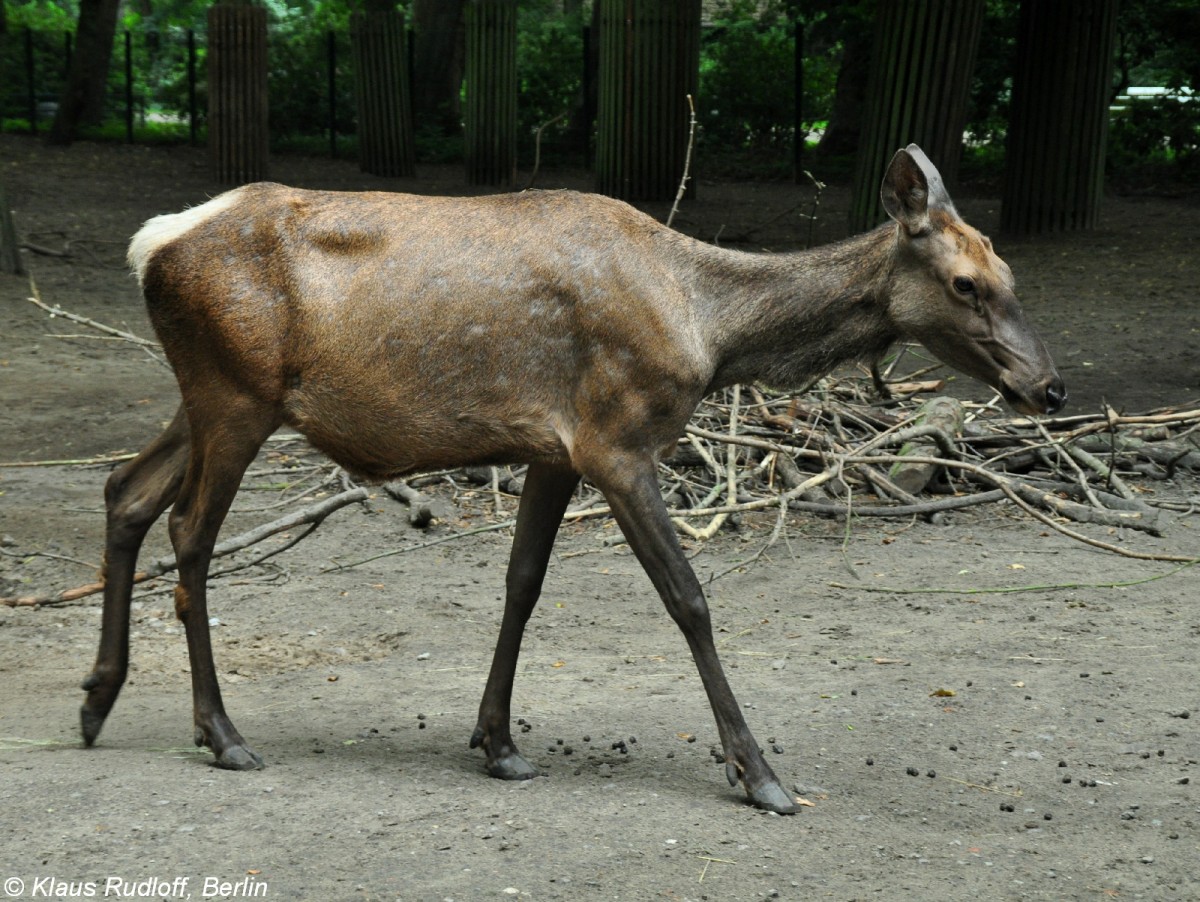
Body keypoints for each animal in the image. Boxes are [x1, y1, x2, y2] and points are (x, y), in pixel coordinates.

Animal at [79, 144, 1065, 815]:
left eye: (1011, 271)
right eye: (967, 282)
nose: (1048, 387)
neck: (707, 329)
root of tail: (148, 246)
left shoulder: (553, 449)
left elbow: (522, 584)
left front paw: (498, 742)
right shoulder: (616, 441)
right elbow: (688, 598)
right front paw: (761, 774)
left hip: (209, 395)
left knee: (126, 491)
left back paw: (97, 702)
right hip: (234, 392)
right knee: (189, 533)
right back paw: (222, 735)